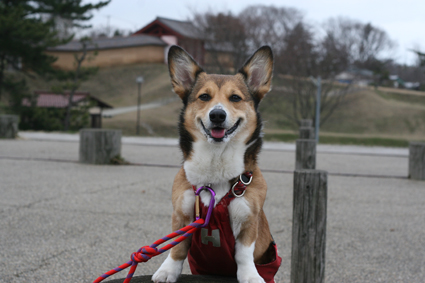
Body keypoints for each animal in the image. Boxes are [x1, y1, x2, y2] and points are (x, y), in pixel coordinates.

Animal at [152, 46, 278, 283]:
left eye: (235, 98)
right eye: (204, 97)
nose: (217, 115)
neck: (216, 162)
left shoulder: (248, 219)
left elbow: (243, 254)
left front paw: (250, 276)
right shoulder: (181, 214)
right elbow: (177, 249)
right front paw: (167, 270)